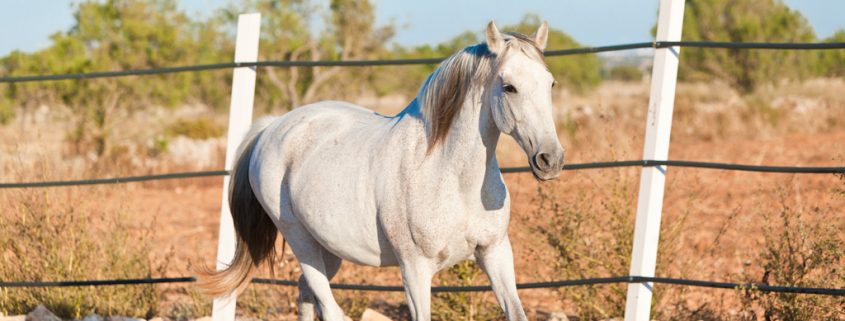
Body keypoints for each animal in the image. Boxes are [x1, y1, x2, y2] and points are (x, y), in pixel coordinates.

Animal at [201, 21, 564, 320]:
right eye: (509, 87)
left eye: (550, 83)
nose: (550, 159)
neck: (453, 179)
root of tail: (271, 126)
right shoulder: (415, 270)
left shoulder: (495, 253)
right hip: (300, 240)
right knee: (327, 306)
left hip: (328, 250)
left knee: (306, 294)